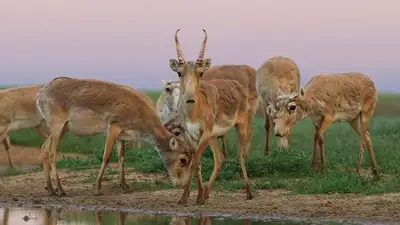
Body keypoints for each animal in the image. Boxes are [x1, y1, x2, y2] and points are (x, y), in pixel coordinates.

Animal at [37, 76, 194, 196]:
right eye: (183, 159)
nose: (182, 183)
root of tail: (41, 93)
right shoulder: (113, 128)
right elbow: (106, 157)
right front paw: (97, 188)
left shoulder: (122, 136)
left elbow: (121, 157)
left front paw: (125, 186)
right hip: (57, 126)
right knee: (52, 152)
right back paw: (60, 189)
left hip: (63, 129)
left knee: (44, 148)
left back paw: (50, 189)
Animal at [169, 29, 253, 205]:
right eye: (179, 72)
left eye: (200, 73)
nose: (190, 99)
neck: (195, 112)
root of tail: (236, 84)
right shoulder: (192, 135)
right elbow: (197, 163)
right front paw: (197, 196)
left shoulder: (205, 133)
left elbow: (194, 163)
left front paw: (185, 198)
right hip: (214, 137)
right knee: (219, 159)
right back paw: (206, 193)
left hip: (240, 127)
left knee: (241, 155)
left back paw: (249, 192)